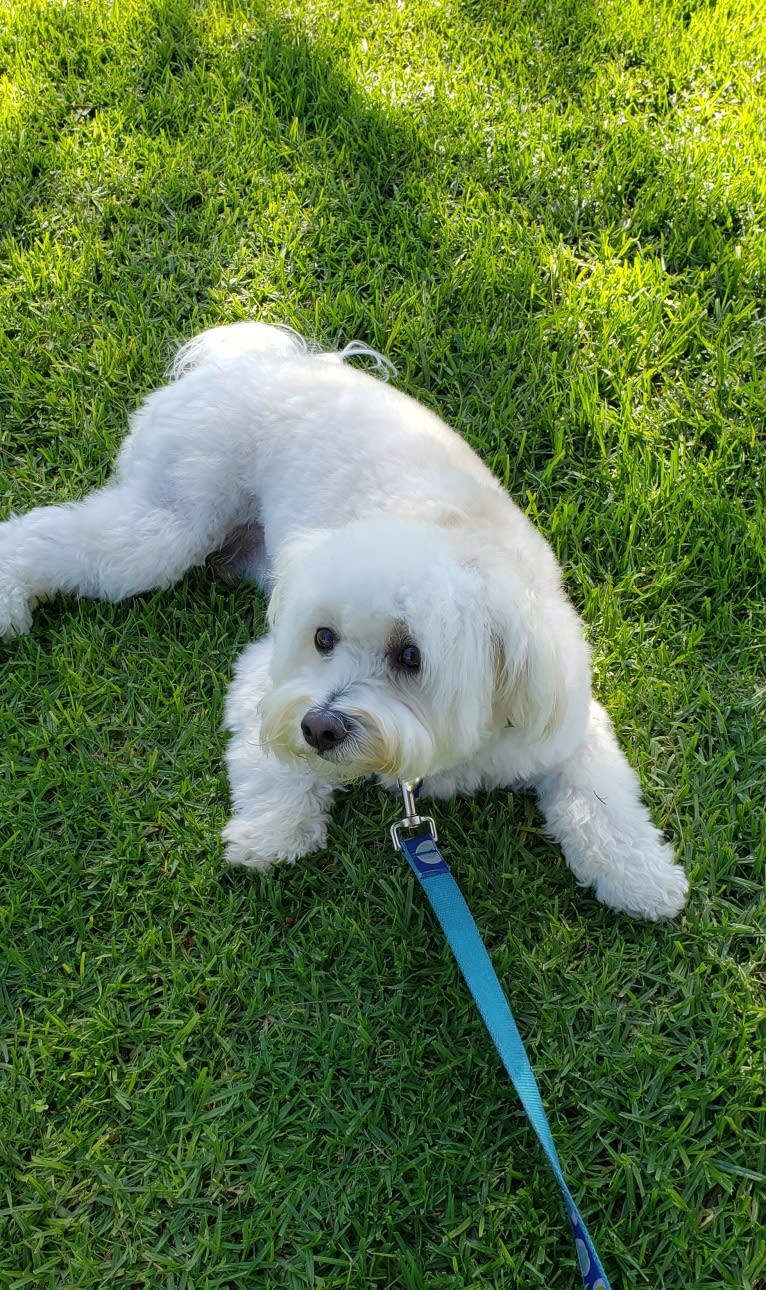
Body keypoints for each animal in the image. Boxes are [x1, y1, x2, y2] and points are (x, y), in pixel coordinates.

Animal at [0, 327, 686, 923]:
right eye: (322, 638)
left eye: (411, 656)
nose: (321, 727)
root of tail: (250, 361)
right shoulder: (269, 676)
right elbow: (272, 760)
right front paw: (272, 833)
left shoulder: (566, 720)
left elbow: (601, 802)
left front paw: (641, 876)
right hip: (166, 525)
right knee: (57, 537)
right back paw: (11, 594)